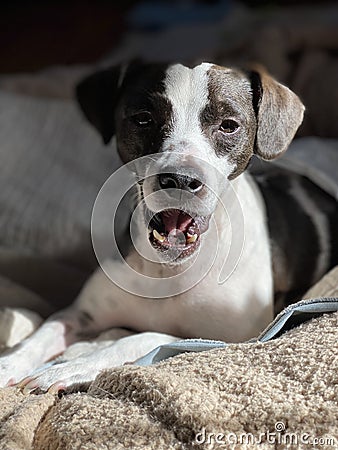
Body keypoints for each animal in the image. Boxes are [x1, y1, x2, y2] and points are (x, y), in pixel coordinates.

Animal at [0, 61, 336, 392]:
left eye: (228, 125)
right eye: (143, 119)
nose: (181, 179)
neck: (169, 269)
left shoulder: (233, 339)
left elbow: (142, 337)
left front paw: (72, 366)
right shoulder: (80, 314)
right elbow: (41, 334)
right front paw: (8, 364)